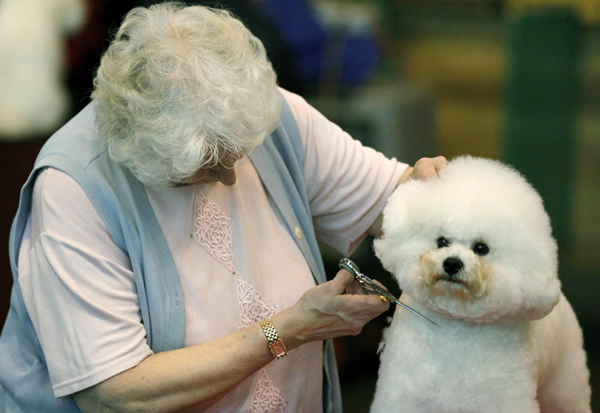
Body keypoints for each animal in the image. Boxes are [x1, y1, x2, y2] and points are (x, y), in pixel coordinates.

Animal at [370, 155, 592, 412]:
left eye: (481, 248)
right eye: (441, 241)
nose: (452, 264)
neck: (454, 328)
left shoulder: (502, 400)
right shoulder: (403, 396)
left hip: (564, 382)